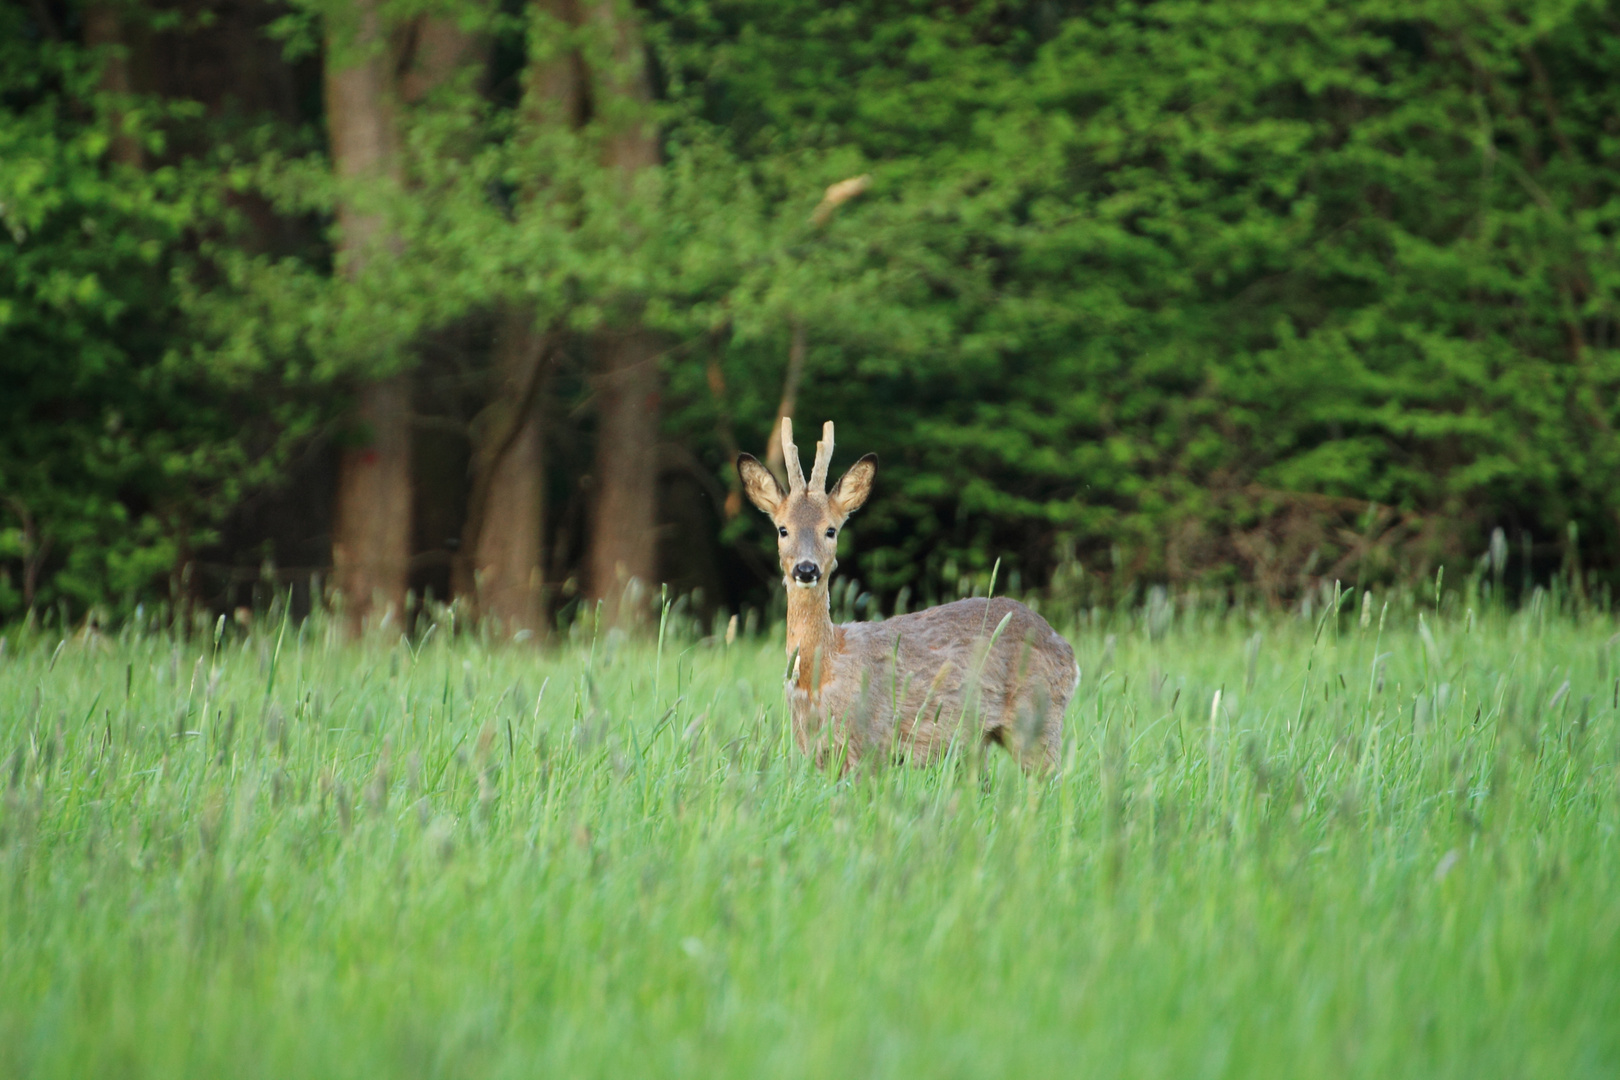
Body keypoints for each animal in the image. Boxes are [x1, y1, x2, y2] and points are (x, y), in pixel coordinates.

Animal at [738, 417, 1075, 773]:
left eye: (830, 530)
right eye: (782, 529)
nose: (806, 569)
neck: (821, 674)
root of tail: (1067, 650)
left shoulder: (871, 742)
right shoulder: (817, 754)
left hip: (1038, 721)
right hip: (980, 743)